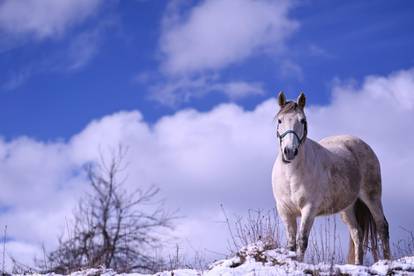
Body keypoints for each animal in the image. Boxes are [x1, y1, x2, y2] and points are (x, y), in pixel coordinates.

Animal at [274, 91, 390, 264]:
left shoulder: (309, 209)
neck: (290, 175)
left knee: (382, 226)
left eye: (302, 121)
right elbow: (291, 244)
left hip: (372, 197)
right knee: (357, 233)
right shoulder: (285, 211)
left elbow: (302, 241)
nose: (289, 151)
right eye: (280, 120)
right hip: (347, 208)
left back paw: (388, 260)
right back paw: (358, 265)